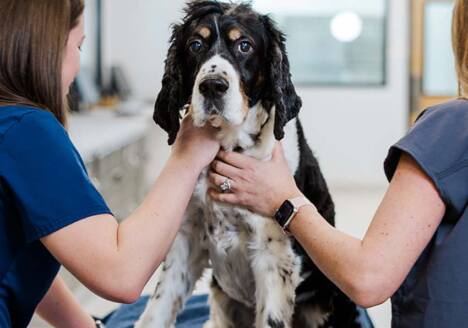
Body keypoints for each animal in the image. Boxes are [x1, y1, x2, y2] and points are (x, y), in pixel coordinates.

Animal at [135, 1, 362, 326]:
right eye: (195, 45)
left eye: (244, 45)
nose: (212, 86)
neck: (228, 145)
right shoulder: (187, 238)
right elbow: (158, 308)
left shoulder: (273, 254)